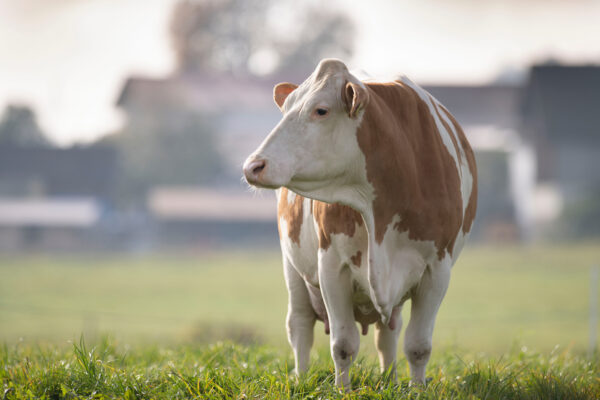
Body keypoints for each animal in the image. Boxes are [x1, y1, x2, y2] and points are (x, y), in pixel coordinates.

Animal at [241, 57, 476, 390]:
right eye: (285, 108)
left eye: (321, 110)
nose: (253, 166)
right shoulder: (331, 265)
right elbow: (343, 345)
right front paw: (342, 390)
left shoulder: (437, 269)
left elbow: (418, 346)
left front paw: (417, 390)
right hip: (293, 267)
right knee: (299, 325)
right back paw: (301, 378)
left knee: (388, 334)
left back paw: (389, 379)